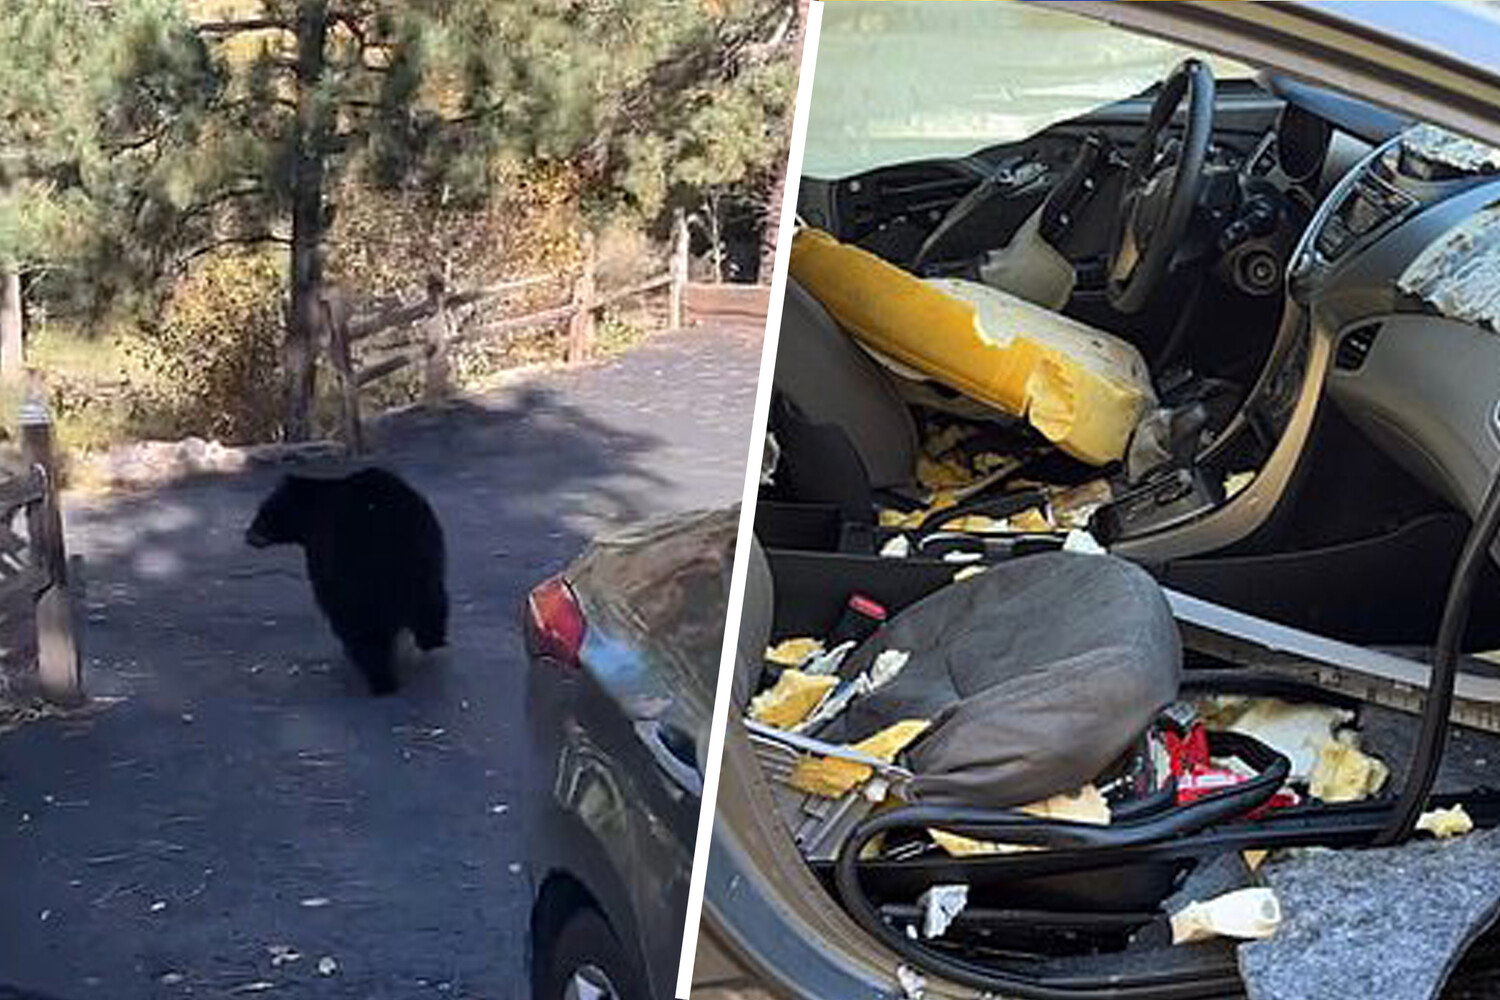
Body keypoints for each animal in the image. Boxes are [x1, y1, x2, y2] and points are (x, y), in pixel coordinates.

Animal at [243, 470, 444, 695]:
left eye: (263, 511)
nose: (248, 535)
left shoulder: (324, 554)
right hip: (424, 564)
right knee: (431, 606)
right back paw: (431, 641)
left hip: (360, 578)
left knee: (364, 631)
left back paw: (380, 679)